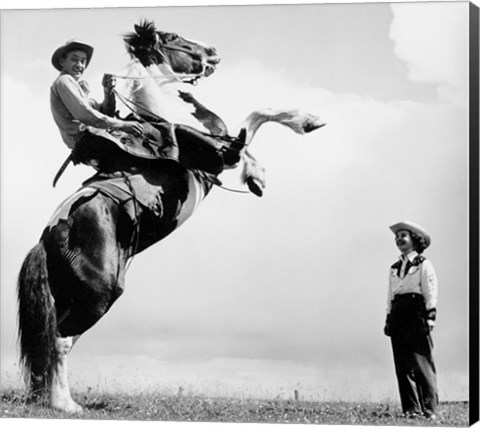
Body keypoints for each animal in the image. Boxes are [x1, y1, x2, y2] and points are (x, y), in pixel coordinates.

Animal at [16, 20, 324, 414]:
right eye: (175, 38)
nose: (213, 52)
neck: (156, 116)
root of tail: (47, 238)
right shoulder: (220, 154)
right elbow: (254, 119)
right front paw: (307, 121)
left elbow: (239, 127)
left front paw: (257, 176)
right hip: (100, 294)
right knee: (60, 341)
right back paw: (65, 404)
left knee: (52, 341)